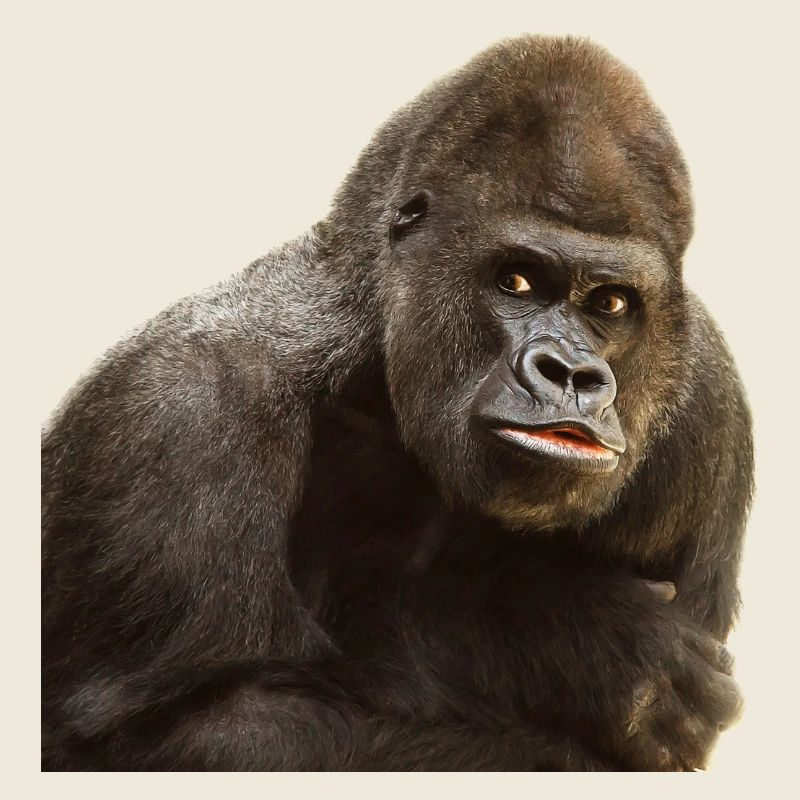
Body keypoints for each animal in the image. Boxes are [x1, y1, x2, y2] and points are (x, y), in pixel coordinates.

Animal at [41, 35, 752, 770]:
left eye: (610, 303)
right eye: (516, 281)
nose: (571, 374)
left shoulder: (709, 411)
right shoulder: (179, 411)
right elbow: (172, 732)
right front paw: (567, 640)